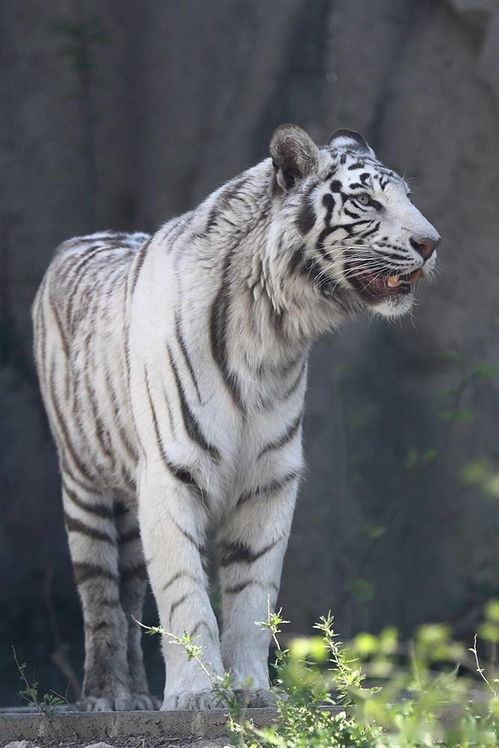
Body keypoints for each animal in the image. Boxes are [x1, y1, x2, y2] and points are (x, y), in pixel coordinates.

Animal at [32, 124, 439, 712]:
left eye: (407, 196)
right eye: (366, 201)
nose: (431, 244)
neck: (272, 332)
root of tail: (82, 239)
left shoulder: (269, 480)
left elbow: (252, 596)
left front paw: (251, 693)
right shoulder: (170, 474)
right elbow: (184, 593)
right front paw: (197, 695)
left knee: (130, 590)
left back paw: (138, 697)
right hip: (83, 481)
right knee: (102, 593)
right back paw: (107, 697)